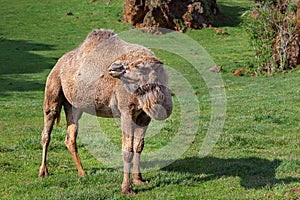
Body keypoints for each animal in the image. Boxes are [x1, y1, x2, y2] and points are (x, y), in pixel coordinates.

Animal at [38, 29, 173, 194]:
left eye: (139, 66)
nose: (114, 67)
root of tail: (59, 63)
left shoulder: (144, 115)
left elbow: (138, 146)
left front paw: (139, 180)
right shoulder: (126, 111)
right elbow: (127, 149)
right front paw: (127, 188)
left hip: (73, 106)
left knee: (70, 136)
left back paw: (82, 172)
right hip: (53, 88)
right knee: (47, 130)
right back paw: (43, 172)